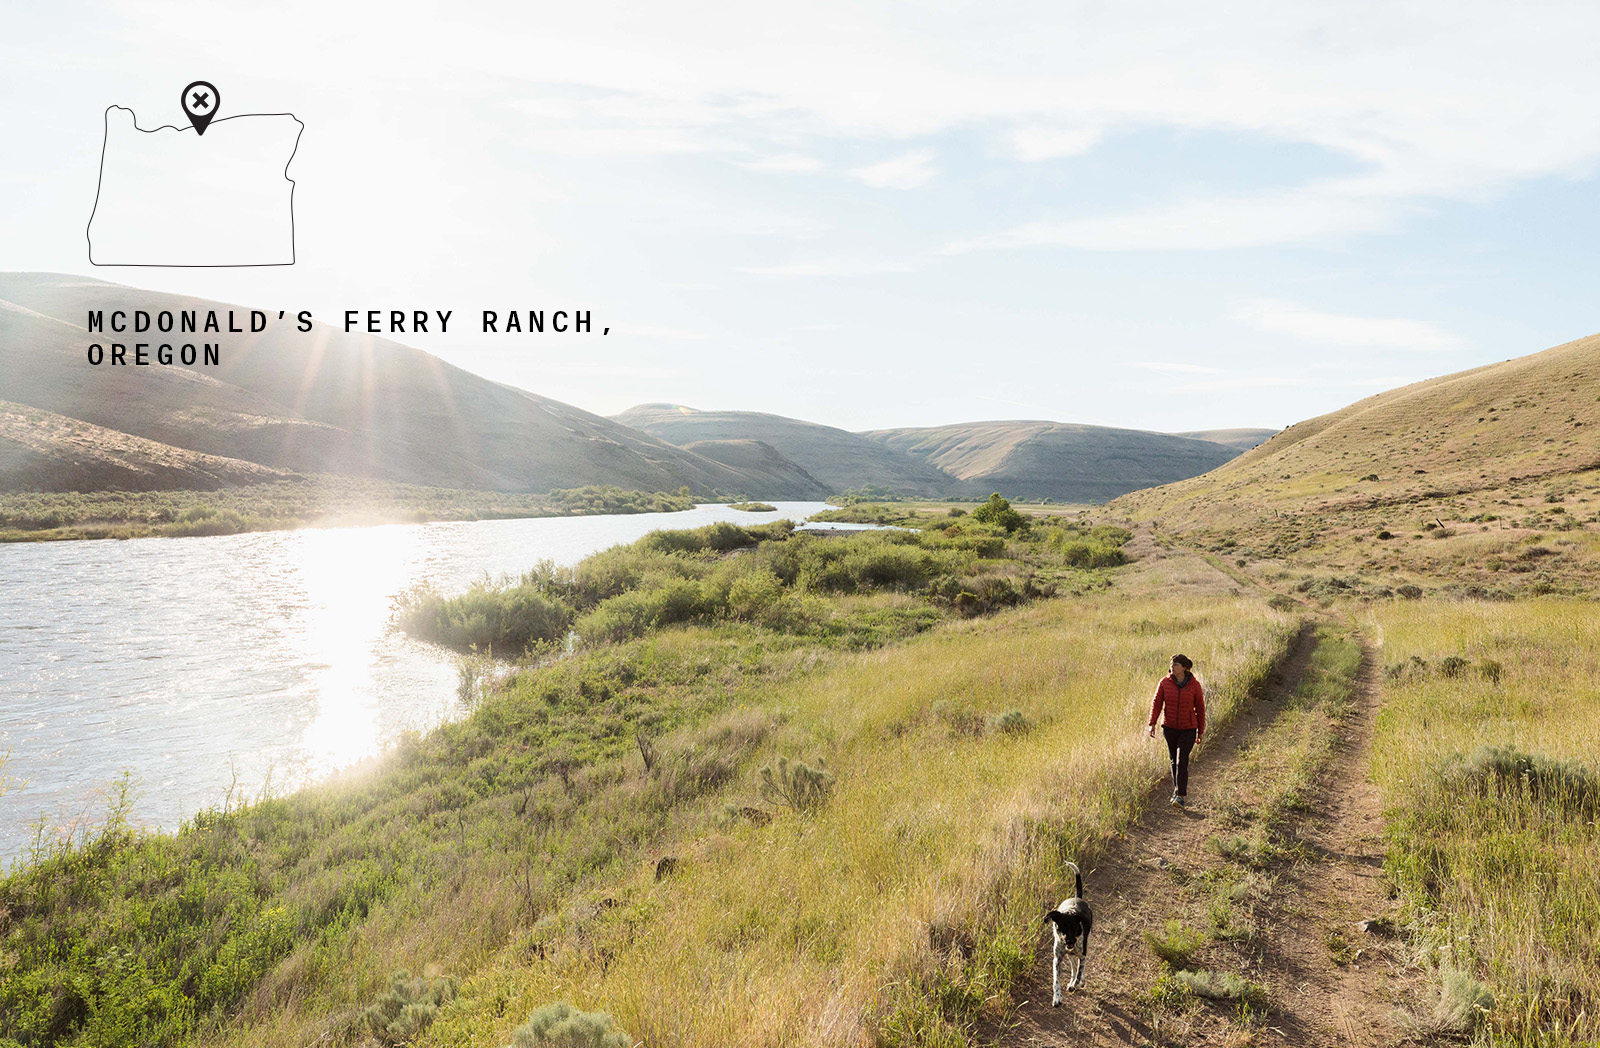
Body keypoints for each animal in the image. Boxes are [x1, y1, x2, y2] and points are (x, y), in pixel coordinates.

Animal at [1043, 864, 1094, 1011]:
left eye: (1074, 927)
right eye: (1061, 928)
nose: (1069, 941)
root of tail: (1077, 897)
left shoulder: (1082, 954)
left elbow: (1079, 971)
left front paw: (1074, 984)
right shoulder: (1057, 959)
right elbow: (1056, 981)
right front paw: (1057, 998)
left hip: (1086, 944)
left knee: (1082, 965)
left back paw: (1080, 982)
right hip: (1069, 953)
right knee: (1073, 964)